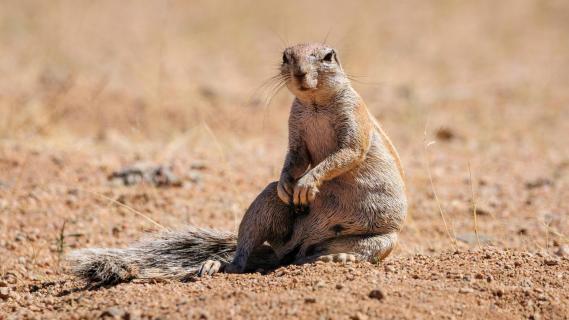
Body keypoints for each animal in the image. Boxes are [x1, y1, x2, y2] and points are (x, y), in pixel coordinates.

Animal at [69, 43, 406, 284]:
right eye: (286, 56)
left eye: (327, 57)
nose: (299, 73)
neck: (314, 104)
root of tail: (291, 249)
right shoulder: (295, 128)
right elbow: (295, 157)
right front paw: (288, 183)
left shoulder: (354, 119)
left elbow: (346, 152)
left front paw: (307, 184)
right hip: (265, 208)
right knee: (247, 252)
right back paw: (219, 265)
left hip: (383, 239)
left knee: (358, 252)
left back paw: (338, 259)